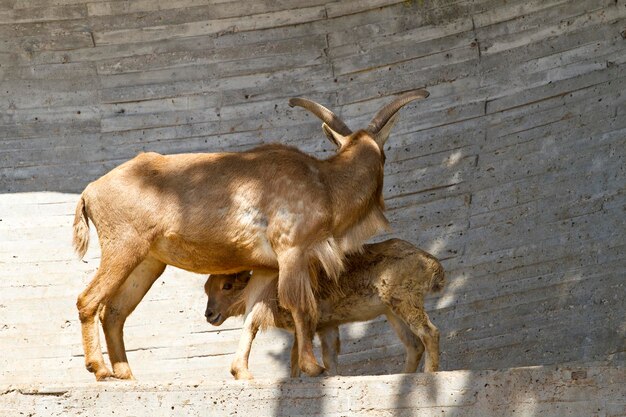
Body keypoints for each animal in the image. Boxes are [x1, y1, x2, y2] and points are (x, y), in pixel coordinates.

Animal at [202, 239, 442, 378]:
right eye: (206, 289)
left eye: (227, 285)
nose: (209, 314)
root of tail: (433, 265)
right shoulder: (327, 327)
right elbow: (328, 359)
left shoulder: (307, 324)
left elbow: (296, 357)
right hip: (392, 311)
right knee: (414, 345)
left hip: (406, 300)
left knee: (430, 332)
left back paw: (429, 374)